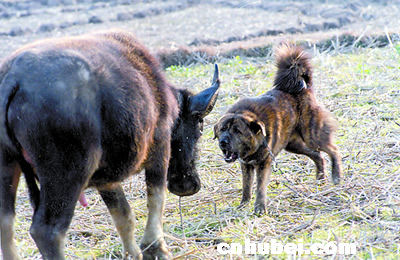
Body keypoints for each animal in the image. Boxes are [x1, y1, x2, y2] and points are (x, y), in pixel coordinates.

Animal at [0, 29, 219, 258]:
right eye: (200, 126)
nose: (189, 186)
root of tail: (12, 79)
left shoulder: (107, 180)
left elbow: (124, 215)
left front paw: (133, 254)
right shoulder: (160, 149)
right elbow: (156, 198)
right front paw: (155, 248)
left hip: (8, 167)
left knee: (6, 223)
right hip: (66, 174)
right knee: (48, 231)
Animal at [214, 44, 342, 215]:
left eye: (237, 131)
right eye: (222, 129)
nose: (223, 142)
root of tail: (304, 88)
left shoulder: (264, 164)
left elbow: (260, 187)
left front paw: (259, 209)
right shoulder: (246, 165)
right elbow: (246, 187)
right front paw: (243, 205)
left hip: (311, 136)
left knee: (333, 149)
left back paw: (336, 176)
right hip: (294, 145)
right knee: (318, 156)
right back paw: (320, 180)